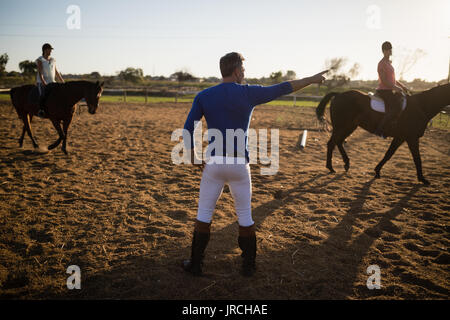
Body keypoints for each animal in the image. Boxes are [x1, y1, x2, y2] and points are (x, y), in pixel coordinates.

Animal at [316, 83, 450, 185]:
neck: (421, 106)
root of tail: (338, 94)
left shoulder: (400, 137)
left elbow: (389, 154)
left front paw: (377, 171)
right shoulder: (411, 138)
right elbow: (417, 158)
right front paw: (422, 179)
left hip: (349, 127)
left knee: (338, 142)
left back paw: (346, 164)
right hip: (342, 126)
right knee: (332, 143)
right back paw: (331, 167)